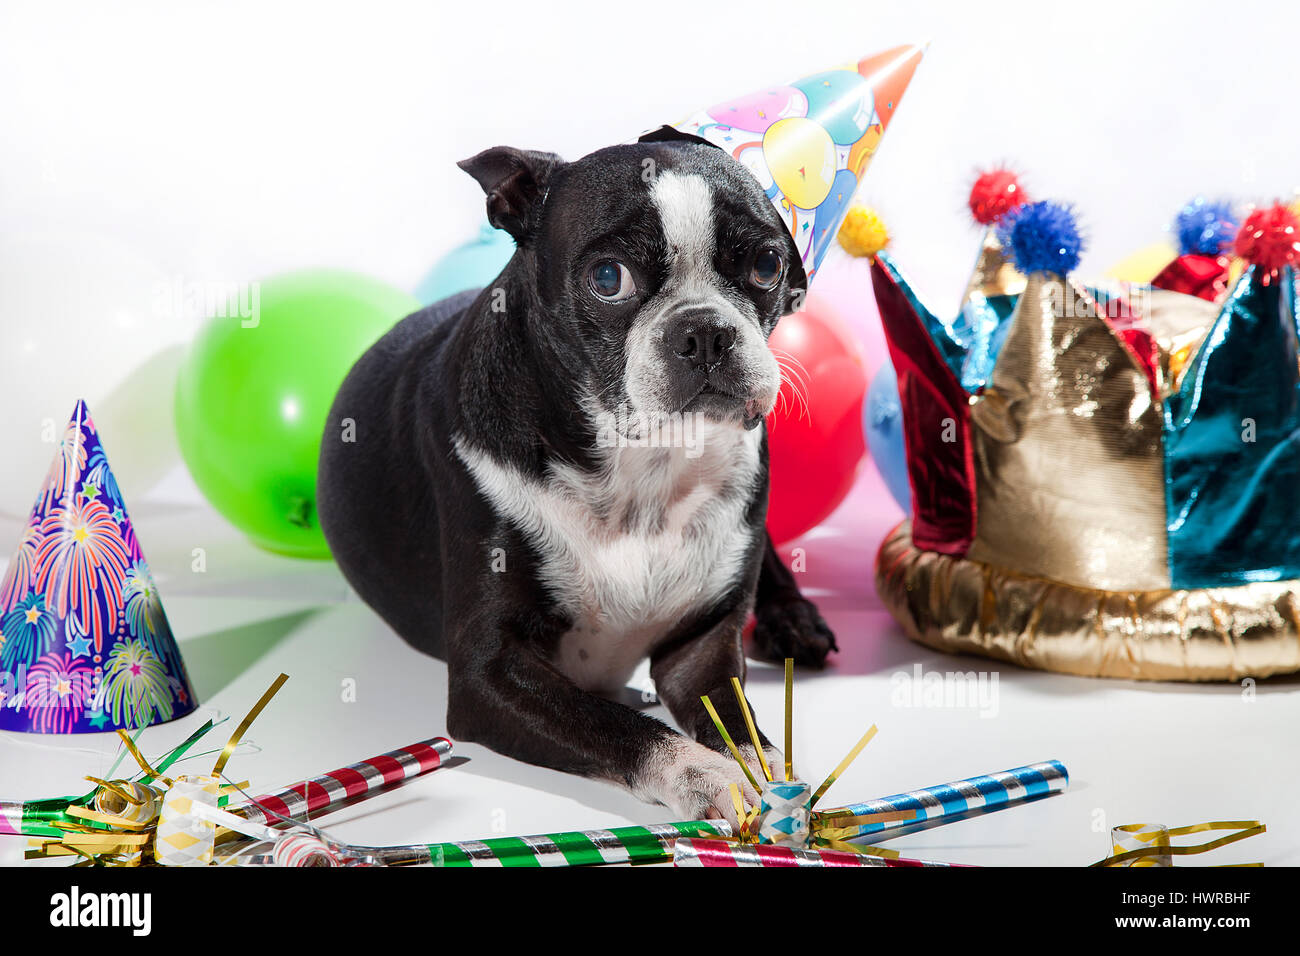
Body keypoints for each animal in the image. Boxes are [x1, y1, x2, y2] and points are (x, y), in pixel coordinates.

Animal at [319, 132, 837, 822]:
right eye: (608, 279)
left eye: (766, 265)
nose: (704, 331)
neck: (640, 467)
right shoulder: (488, 674)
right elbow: (622, 729)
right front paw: (706, 773)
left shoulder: (702, 648)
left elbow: (739, 723)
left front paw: (767, 773)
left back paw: (794, 619)